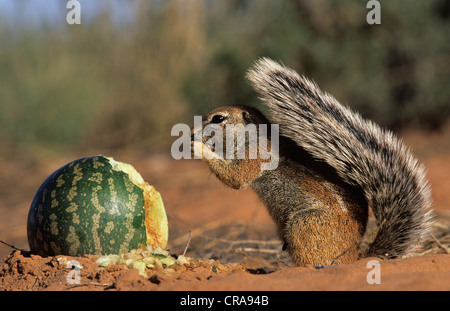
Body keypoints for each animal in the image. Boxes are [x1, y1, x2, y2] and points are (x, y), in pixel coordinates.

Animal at [190, 58, 432, 266]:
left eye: (218, 118)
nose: (192, 132)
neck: (254, 135)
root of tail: (355, 256)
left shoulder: (256, 155)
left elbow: (236, 178)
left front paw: (198, 147)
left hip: (303, 224)